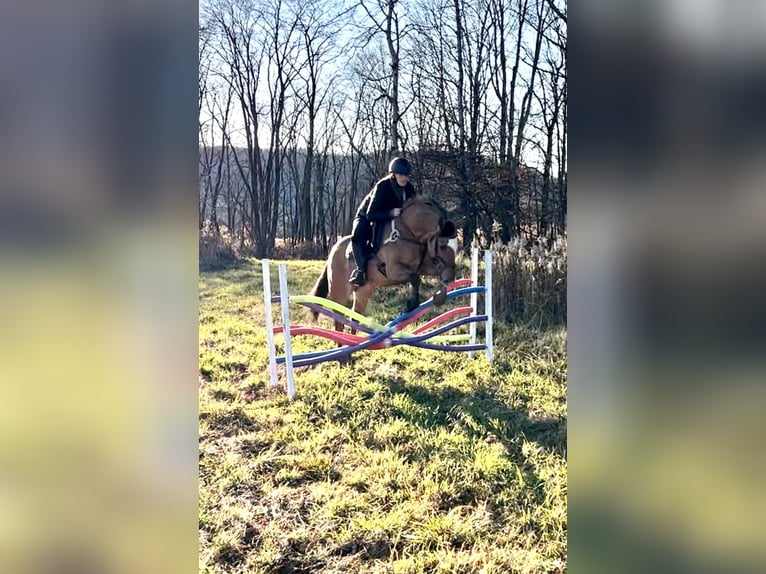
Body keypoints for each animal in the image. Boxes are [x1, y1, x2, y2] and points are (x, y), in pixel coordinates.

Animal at [308, 199, 460, 330]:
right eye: (442, 246)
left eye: (456, 247)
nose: (449, 279)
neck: (408, 232)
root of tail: (333, 251)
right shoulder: (394, 270)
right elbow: (415, 278)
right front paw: (412, 304)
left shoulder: (424, 265)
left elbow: (424, 275)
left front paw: (440, 295)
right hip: (339, 293)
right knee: (339, 321)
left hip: (364, 291)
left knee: (355, 317)